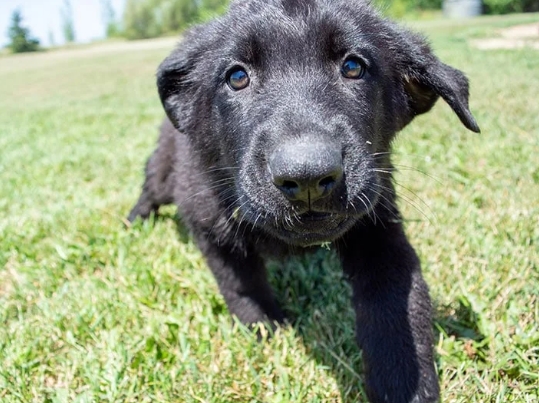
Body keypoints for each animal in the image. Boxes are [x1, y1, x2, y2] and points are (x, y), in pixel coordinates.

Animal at [127, 1, 480, 402]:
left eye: (353, 67)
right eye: (237, 77)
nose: (308, 177)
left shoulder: (378, 225)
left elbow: (397, 300)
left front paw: (406, 383)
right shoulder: (210, 225)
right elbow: (241, 285)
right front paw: (265, 328)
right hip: (165, 171)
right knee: (150, 186)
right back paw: (134, 220)